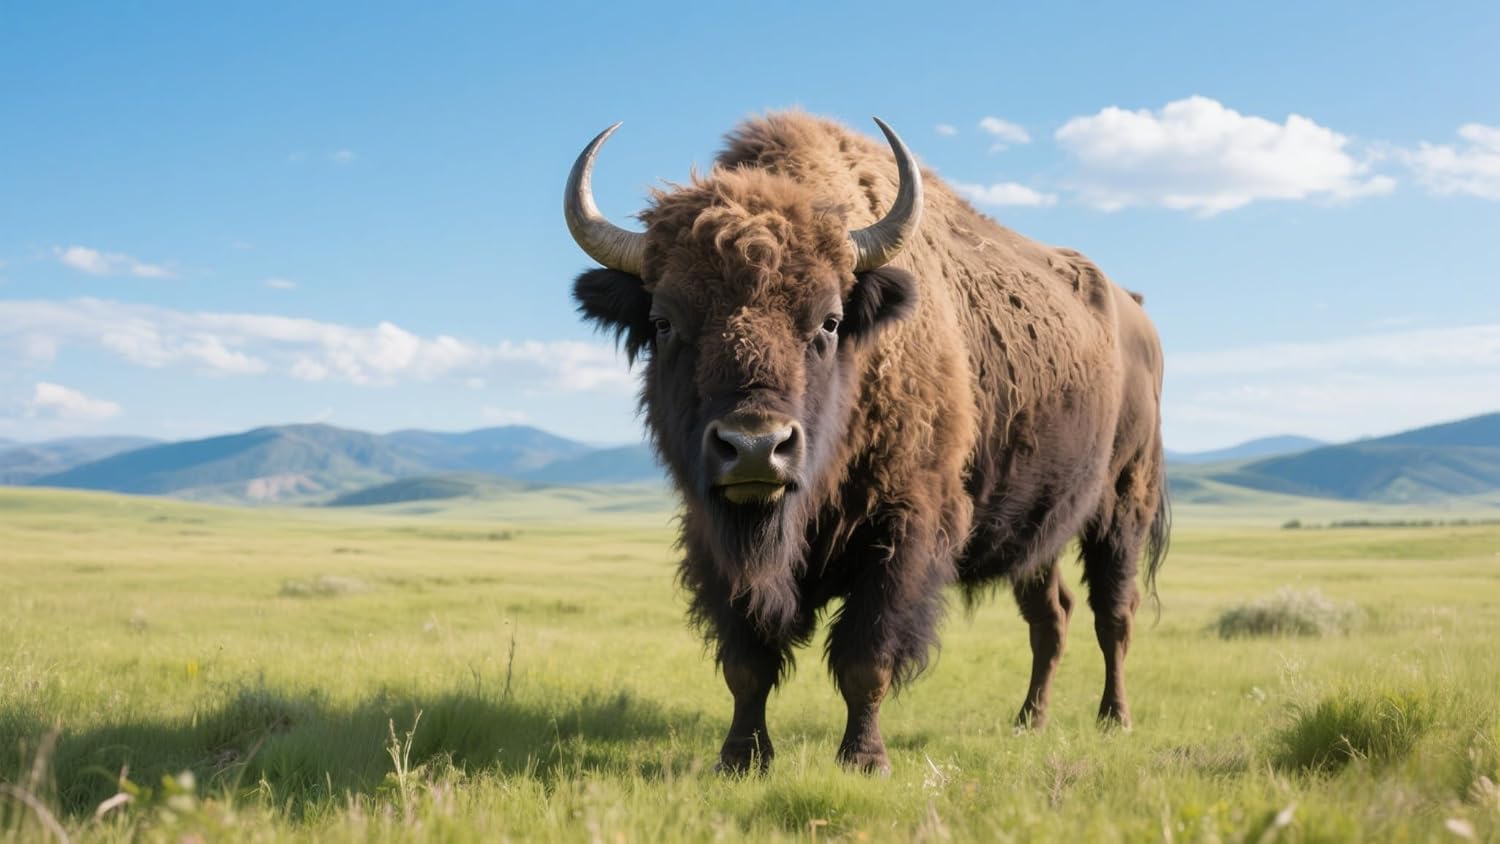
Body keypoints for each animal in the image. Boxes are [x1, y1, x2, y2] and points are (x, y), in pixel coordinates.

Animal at [564, 112, 1169, 774]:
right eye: (665, 322)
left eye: (828, 321)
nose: (755, 447)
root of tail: (1137, 316)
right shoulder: (715, 538)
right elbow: (747, 663)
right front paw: (741, 758)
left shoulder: (904, 530)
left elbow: (865, 659)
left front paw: (865, 759)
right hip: (1040, 530)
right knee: (1051, 615)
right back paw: (1028, 722)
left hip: (1123, 503)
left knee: (1114, 613)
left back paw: (1115, 719)